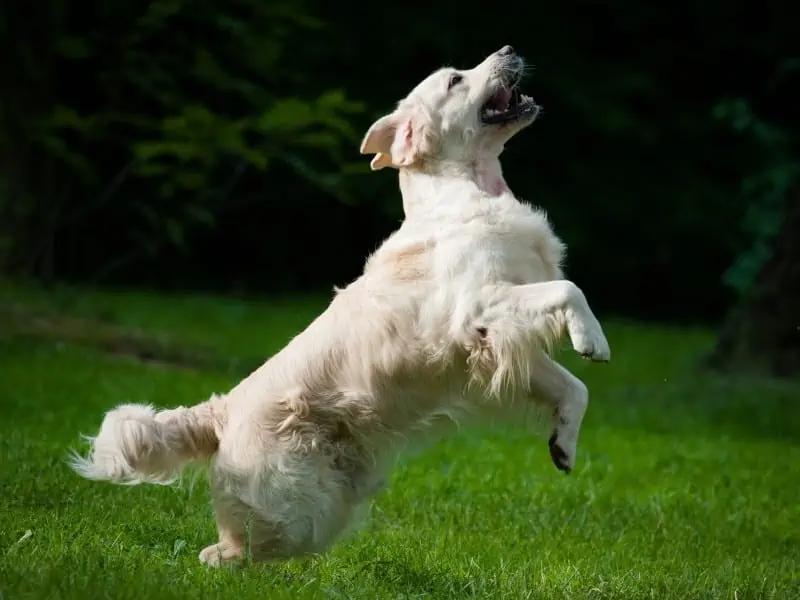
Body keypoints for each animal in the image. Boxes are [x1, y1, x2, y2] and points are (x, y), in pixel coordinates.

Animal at [70, 47, 608, 568]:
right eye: (456, 79)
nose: (511, 49)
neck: (470, 190)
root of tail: (221, 411)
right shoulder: (478, 308)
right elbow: (571, 290)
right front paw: (593, 340)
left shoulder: (496, 340)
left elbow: (576, 387)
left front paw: (564, 445)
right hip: (291, 505)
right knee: (228, 550)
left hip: (325, 505)